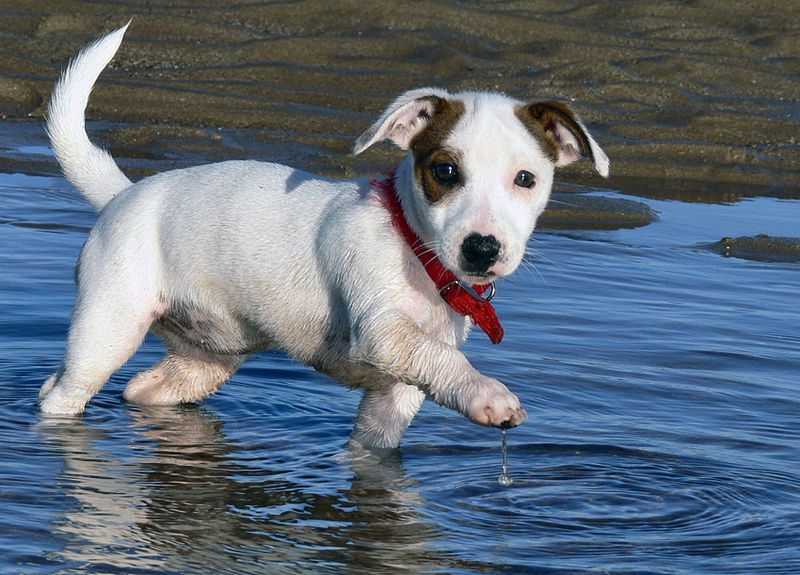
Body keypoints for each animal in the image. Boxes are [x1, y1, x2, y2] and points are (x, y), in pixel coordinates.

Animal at [39, 23, 608, 450]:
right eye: (445, 172)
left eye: (526, 179)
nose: (483, 249)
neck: (415, 250)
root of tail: (123, 193)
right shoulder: (384, 333)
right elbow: (446, 360)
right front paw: (488, 395)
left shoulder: (393, 400)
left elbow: (377, 445)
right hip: (106, 330)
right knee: (61, 392)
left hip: (205, 360)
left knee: (141, 388)